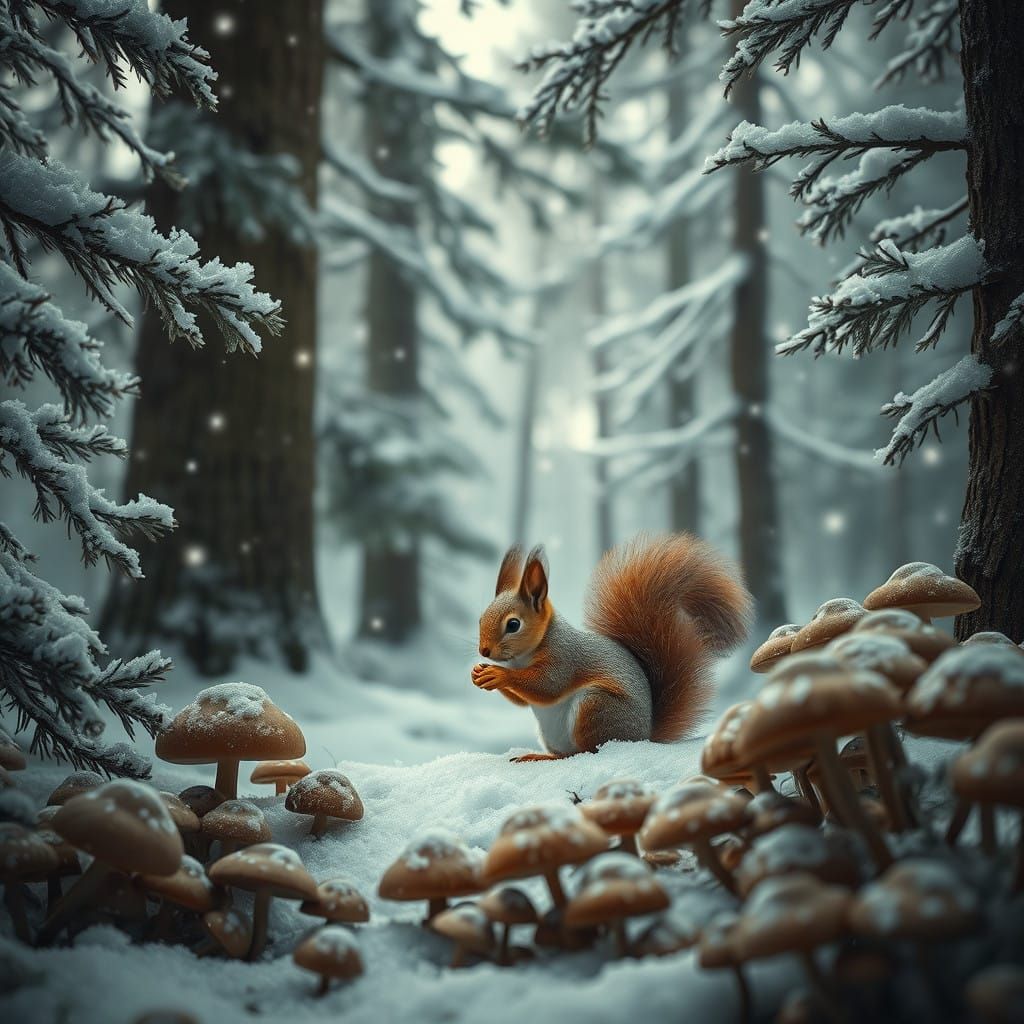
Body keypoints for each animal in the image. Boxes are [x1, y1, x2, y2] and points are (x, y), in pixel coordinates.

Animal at [472, 533, 753, 763]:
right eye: (481, 618)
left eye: (513, 624)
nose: (484, 651)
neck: (522, 657)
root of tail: (643, 737)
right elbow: (522, 701)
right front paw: (479, 673)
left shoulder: (564, 657)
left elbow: (547, 686)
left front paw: (498, 674)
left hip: (596, 707)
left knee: (586, 751)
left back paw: (546, 757)